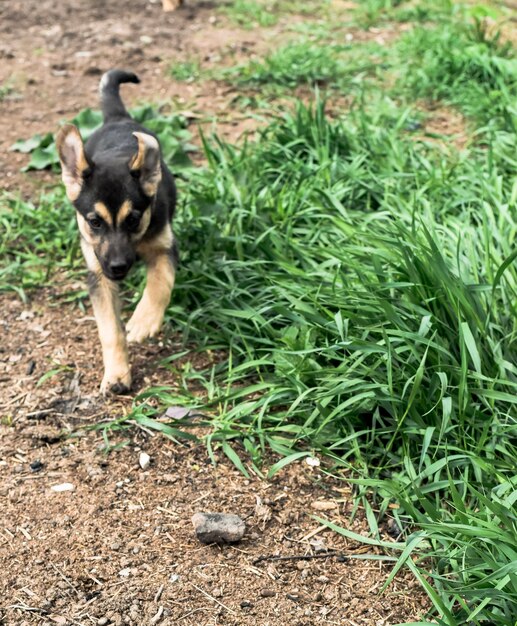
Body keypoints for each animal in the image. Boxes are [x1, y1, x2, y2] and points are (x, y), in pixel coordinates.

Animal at [56, 70, 177, 392]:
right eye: (94, 222)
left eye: (133, 219)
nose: (118, 268)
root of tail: (117, 118)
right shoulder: (97, 273)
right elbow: (110, 328)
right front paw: (117, 375)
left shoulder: (164, 247)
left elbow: (160, 284)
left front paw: (144, 321)